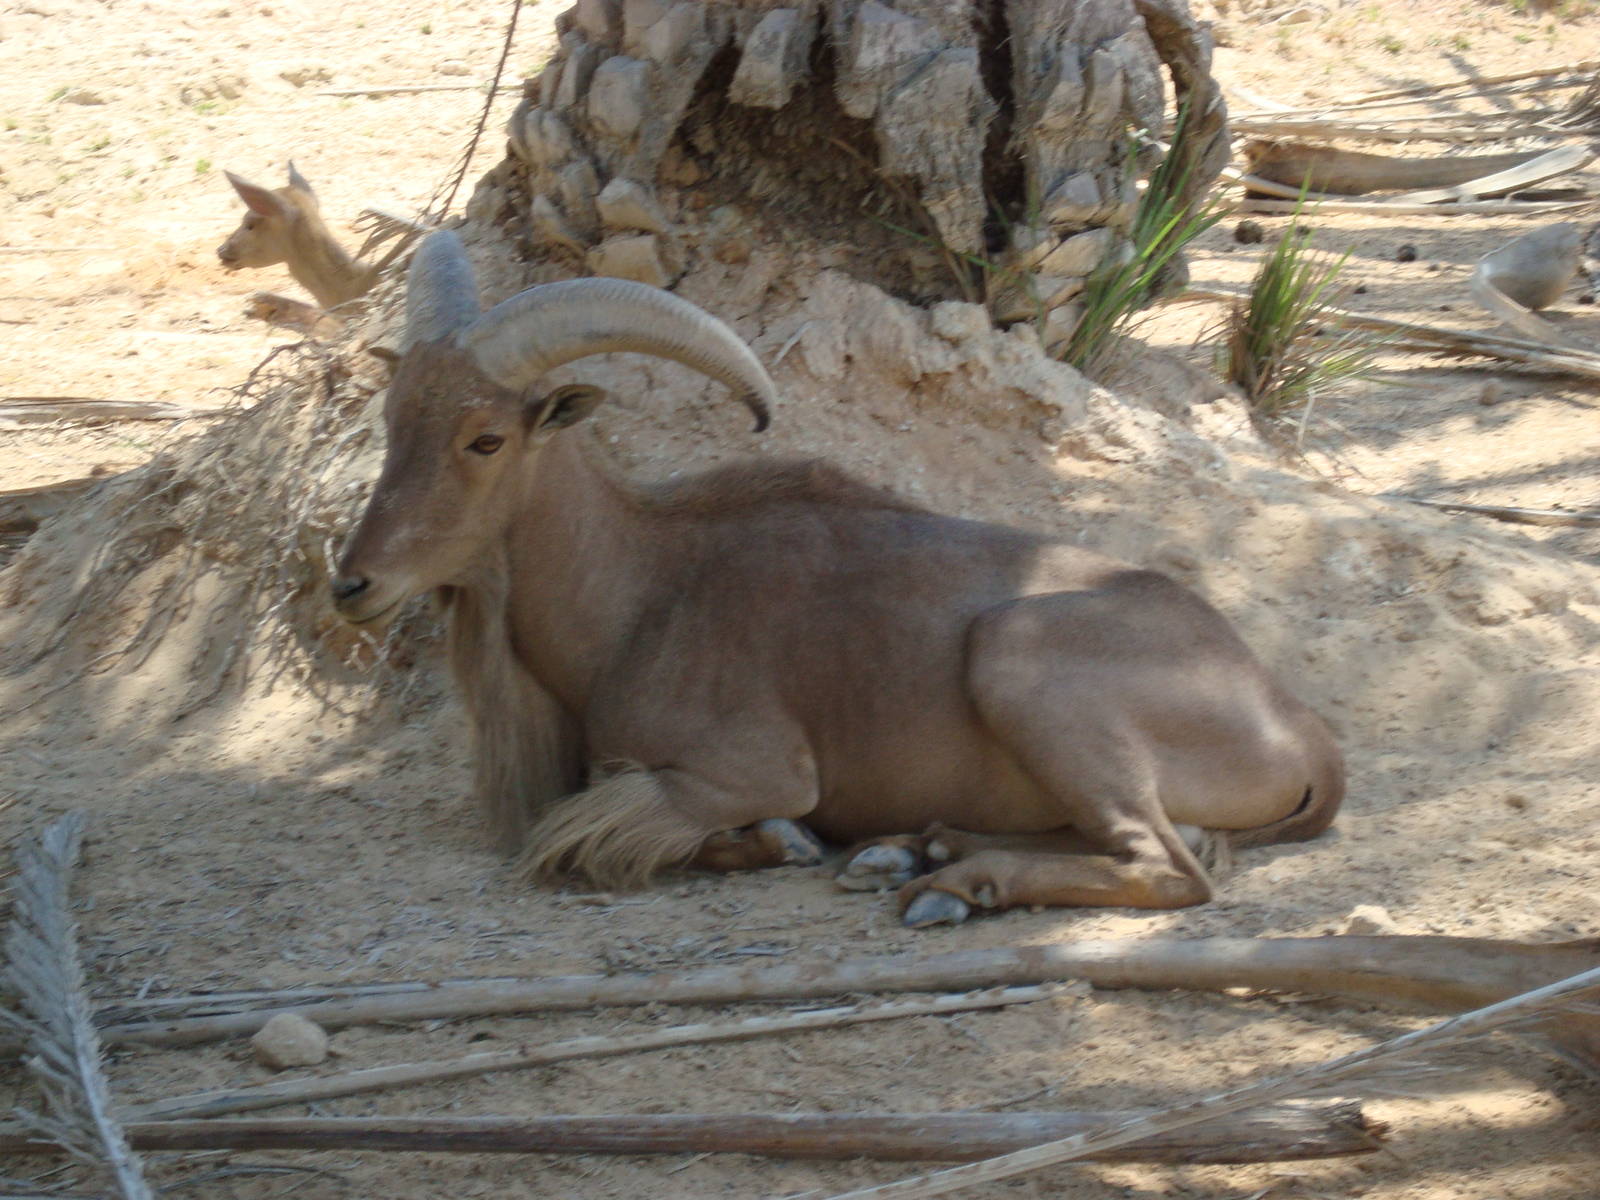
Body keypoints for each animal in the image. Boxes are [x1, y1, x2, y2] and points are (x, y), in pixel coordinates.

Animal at [332, 230, 1343, 928]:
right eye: (392, 418)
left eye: (485, 438)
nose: (353, 586)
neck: (641, 591)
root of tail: (1299, 726)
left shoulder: (747, 770)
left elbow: (599, 835)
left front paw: (785, 842)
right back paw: (917, 848)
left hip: (1022, 656)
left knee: (1169, 867)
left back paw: (955, 882)